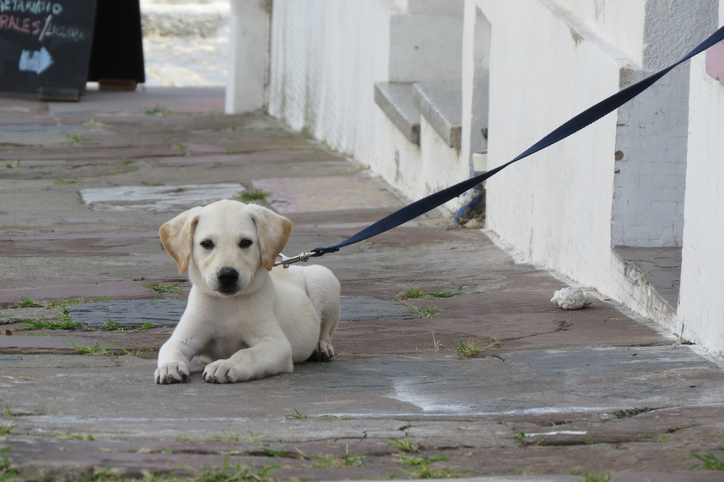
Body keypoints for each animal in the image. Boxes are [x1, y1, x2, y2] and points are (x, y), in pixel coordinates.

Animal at [154, 200, 340, 384]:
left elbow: (246, 354)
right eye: (206, 243)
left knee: (325, 332)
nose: (227, 275)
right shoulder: (183, 338)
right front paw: (169, 366)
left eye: (245, 242)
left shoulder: (276, 344)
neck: (227, 304)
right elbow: (170, 349)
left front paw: (225, 365)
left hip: (323, 278)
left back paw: (321, 347)